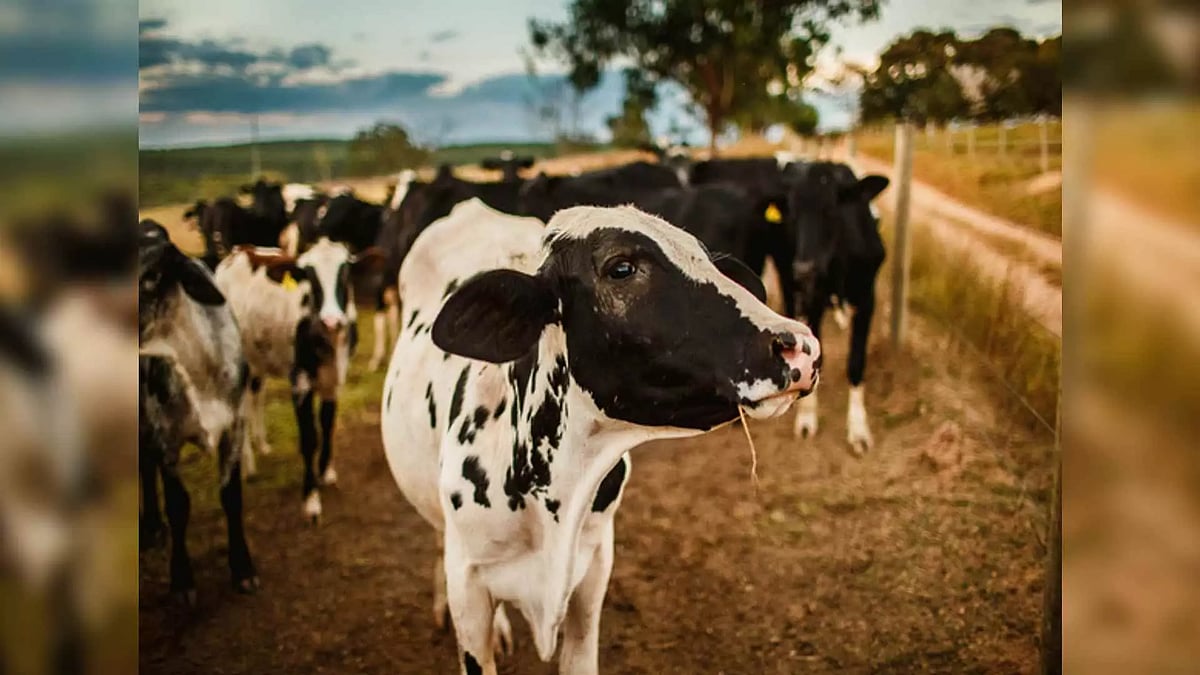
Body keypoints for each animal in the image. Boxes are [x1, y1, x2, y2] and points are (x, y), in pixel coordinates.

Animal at [137, 220, 258, 600]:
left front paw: (243, 568)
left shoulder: (235, 426)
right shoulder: (165, 437)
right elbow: (179, 505)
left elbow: (231, 496)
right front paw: (181, 579)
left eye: (151, 276)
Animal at [214, 239, 380, 521]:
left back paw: (262, 444)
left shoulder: (335, 378)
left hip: (258, 359)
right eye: (309, 278)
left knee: (256, 395)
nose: (332, 320)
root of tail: (238, 251)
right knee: (241, 408)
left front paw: (326, 472)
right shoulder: (300, 381)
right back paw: (248, 464)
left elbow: (327, 424)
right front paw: (311, 498)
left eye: (345, 273)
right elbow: (309, 437)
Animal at [783, 161, 889, 454]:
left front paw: (858, 428)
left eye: (831, 210)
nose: (803, 270)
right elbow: (816, 356)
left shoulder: (867, 299)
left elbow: (856, 362)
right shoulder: (813, 298)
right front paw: (807, 418)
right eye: (793, 212)